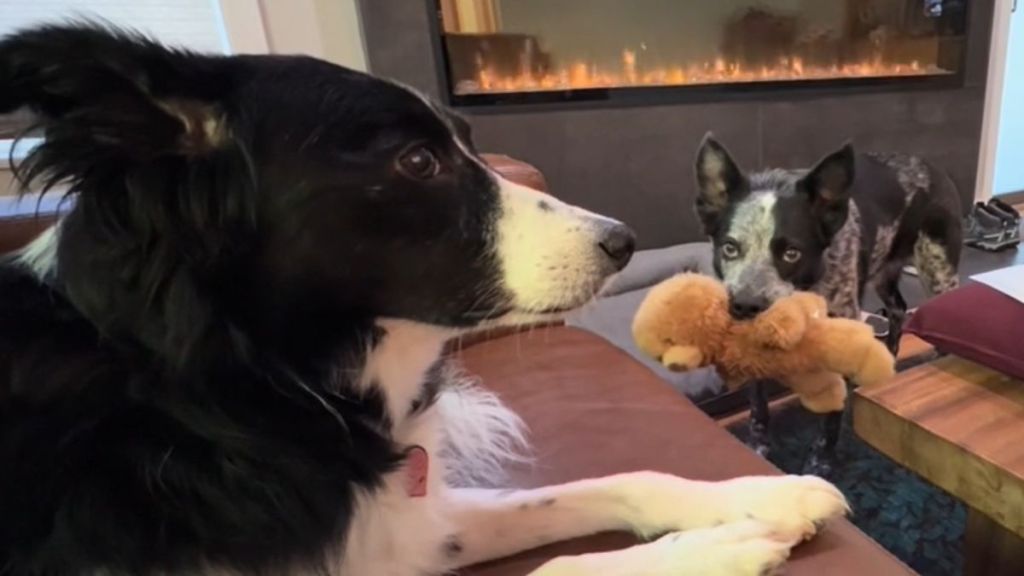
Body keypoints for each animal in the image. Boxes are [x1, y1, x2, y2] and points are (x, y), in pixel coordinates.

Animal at [692, 135, 962, 475]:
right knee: (899, 309)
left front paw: (819, 464)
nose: (744, 306)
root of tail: (932, 168)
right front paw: (758, 450)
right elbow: (757, 408)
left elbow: (830, 418)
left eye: (792, 253)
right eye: (729, 247)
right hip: (882, 272)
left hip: (938, 275)